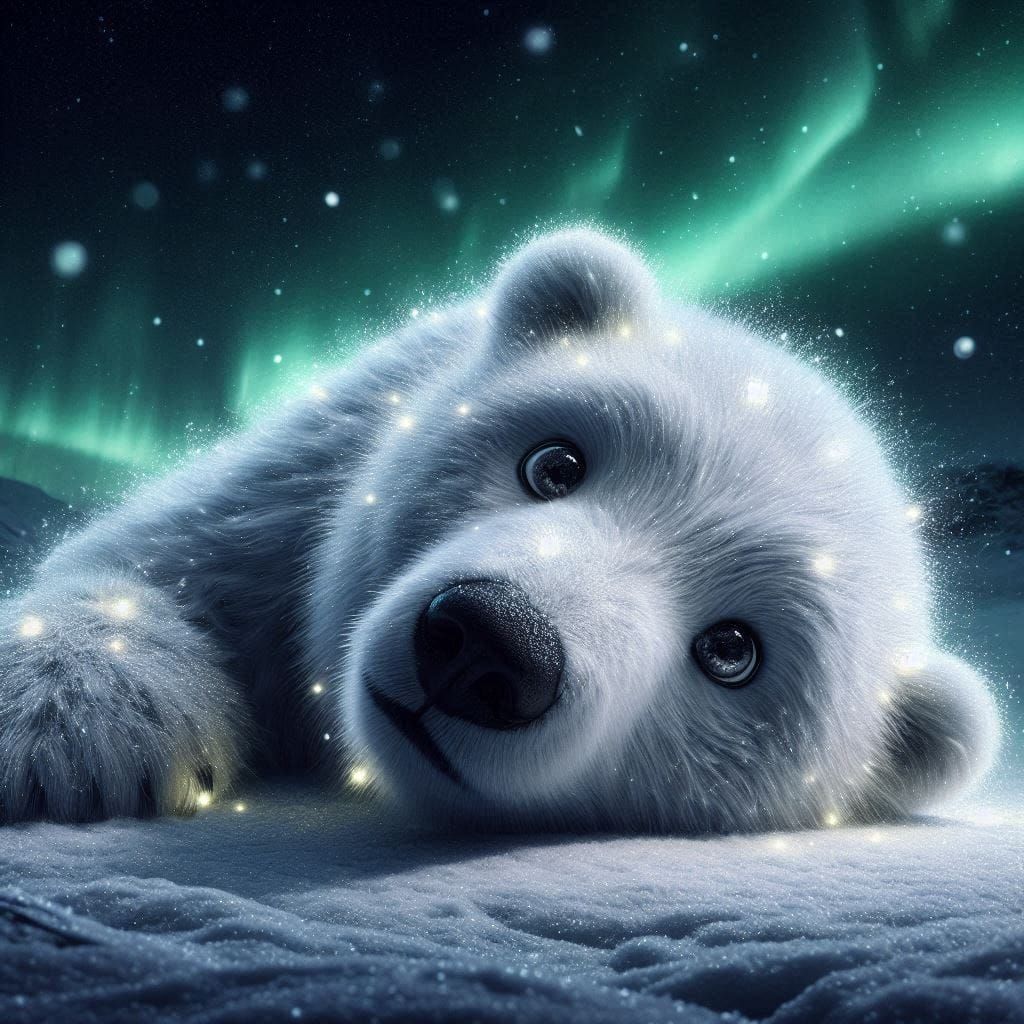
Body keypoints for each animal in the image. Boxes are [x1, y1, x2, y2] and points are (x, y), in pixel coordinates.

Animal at [0, 229, 1001, 831]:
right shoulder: (319, 465)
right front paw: (72, 734)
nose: (488, 644)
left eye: (732, 650)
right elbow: (163, 559)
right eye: (553, 463)